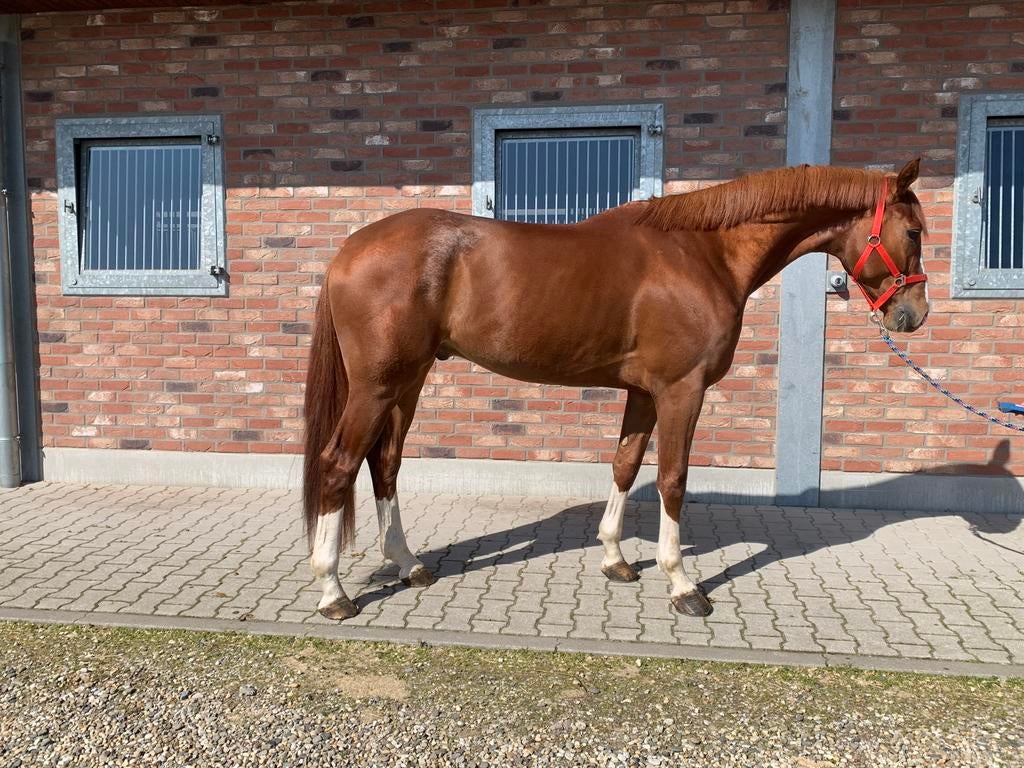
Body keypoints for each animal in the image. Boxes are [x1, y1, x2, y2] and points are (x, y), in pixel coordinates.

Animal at [302, 159, 930, 621]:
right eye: (915, 232)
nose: (913, 315)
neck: (703, 253)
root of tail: (347, 251)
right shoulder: (682, 391)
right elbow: (673, 480)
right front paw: (682, 585)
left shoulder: (645, 393)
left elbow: (626, 465)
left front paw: (615, 559)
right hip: (377, 386)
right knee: (338, 463)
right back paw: (333, 592)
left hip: (407, 383)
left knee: (384, 463)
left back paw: (409, 564)